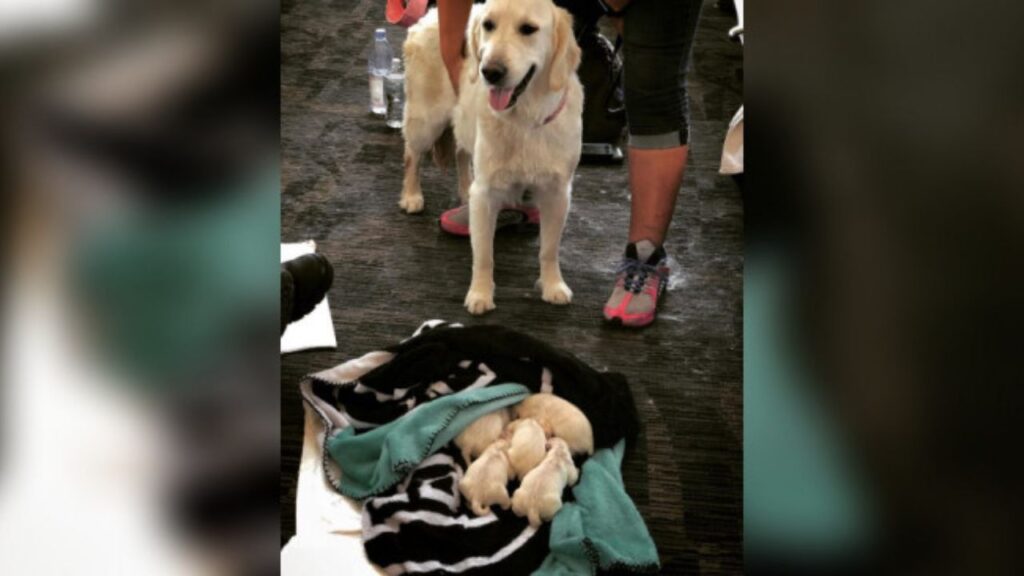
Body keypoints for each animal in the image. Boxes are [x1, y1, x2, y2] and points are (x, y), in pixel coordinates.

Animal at [399, 1, 585, 313]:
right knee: (412, 155)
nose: (490, 72)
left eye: (528, 29)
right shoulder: (486, 194)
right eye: (488, 25)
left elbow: (549, 249)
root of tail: (427, 16)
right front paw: (480, 294)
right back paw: (411, 196)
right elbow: (484, 254)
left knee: (461, 154)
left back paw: (464, 191)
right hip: (426, 120)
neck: (525, 118)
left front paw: (552, 285)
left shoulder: (558, 192)